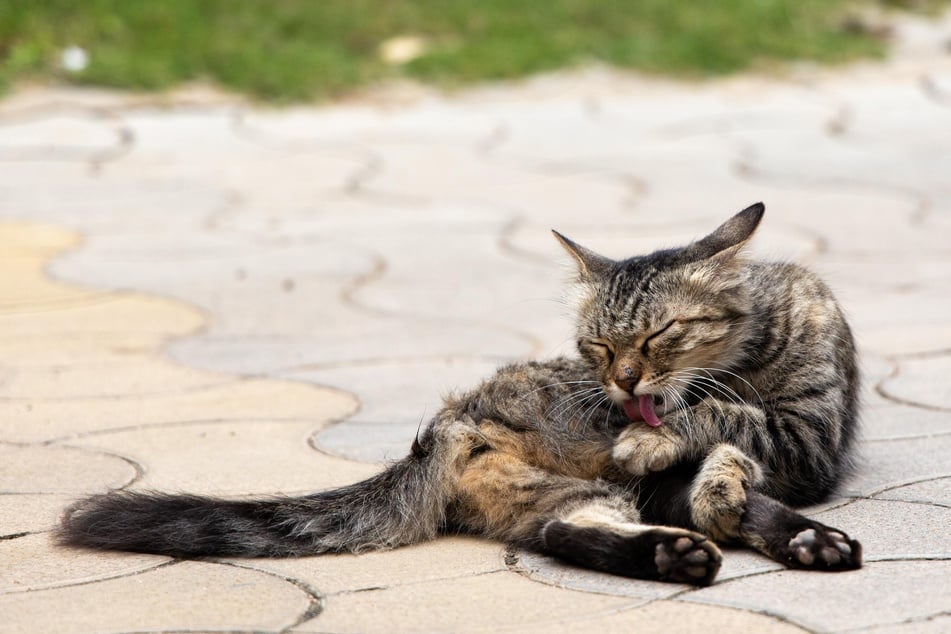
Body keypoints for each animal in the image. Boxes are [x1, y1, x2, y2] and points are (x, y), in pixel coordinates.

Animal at [59, 202, 864, 584]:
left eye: (658, 334)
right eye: (600, 346)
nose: (622, 383)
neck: (745, 355)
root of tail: (449, 421)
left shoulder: (807, 437)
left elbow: (724, 420)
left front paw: (682, 440)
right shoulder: (782, 440)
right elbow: (718, 421)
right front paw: (664, 435)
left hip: (595, 490)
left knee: (587, 524)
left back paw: (795, 538)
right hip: (580, 490)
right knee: (567, 531)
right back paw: (685, 552)